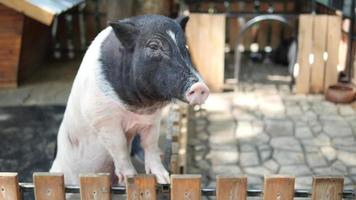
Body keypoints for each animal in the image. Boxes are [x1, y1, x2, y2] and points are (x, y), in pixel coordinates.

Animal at [50, 14, 209, 185]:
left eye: (185, 47)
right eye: (154, 47)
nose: (200, 86)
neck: (136, 110)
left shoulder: (152, 120)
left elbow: (150, 144)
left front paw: (164, 179)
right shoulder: (103, 119)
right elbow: (119, 146)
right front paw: (130, 178)